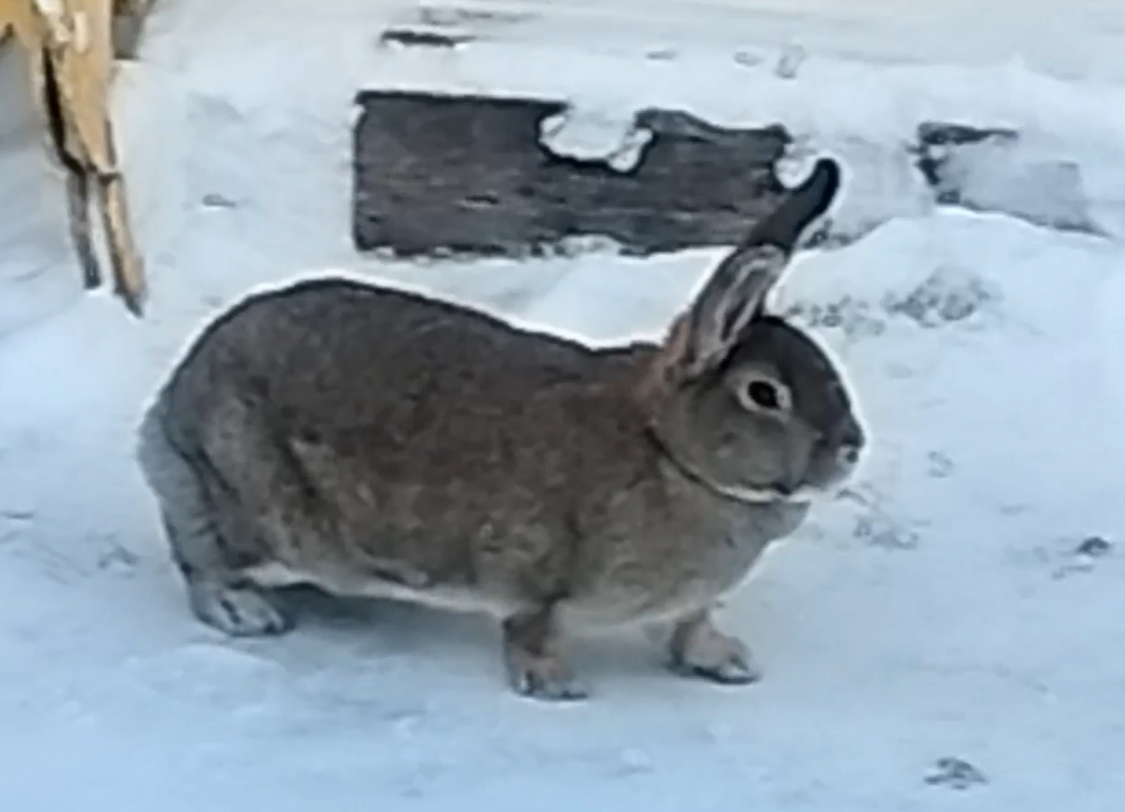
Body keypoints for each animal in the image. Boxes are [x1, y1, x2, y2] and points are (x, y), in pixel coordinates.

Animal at [136, 156, 866, 701]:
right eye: (764, 394)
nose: (851, 449)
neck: (669, 449)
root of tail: (171, 405)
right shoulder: (537, 575)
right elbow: (532, 627)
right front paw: (554, 685)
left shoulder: (685, 601)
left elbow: (689, 627)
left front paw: (725, 661)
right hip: (250, 501)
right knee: (203, 560)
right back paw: (245, 611)